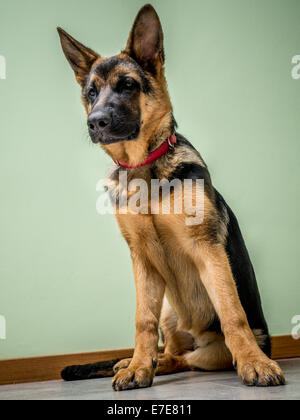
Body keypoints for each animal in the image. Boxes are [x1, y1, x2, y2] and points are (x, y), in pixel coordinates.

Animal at [57, 4, 284, 390]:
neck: (143, 166)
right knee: (170, 353)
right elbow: (141, 322)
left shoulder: (208, 250)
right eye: (91, 92)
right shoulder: (142, 260)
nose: (95, 121)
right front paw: (137, 367)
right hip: (167, 309)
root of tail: (196, 341)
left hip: (206, 346)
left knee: (187, 356)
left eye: (128, 85)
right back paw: (131, 362)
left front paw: (255, 363)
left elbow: (232, 312)